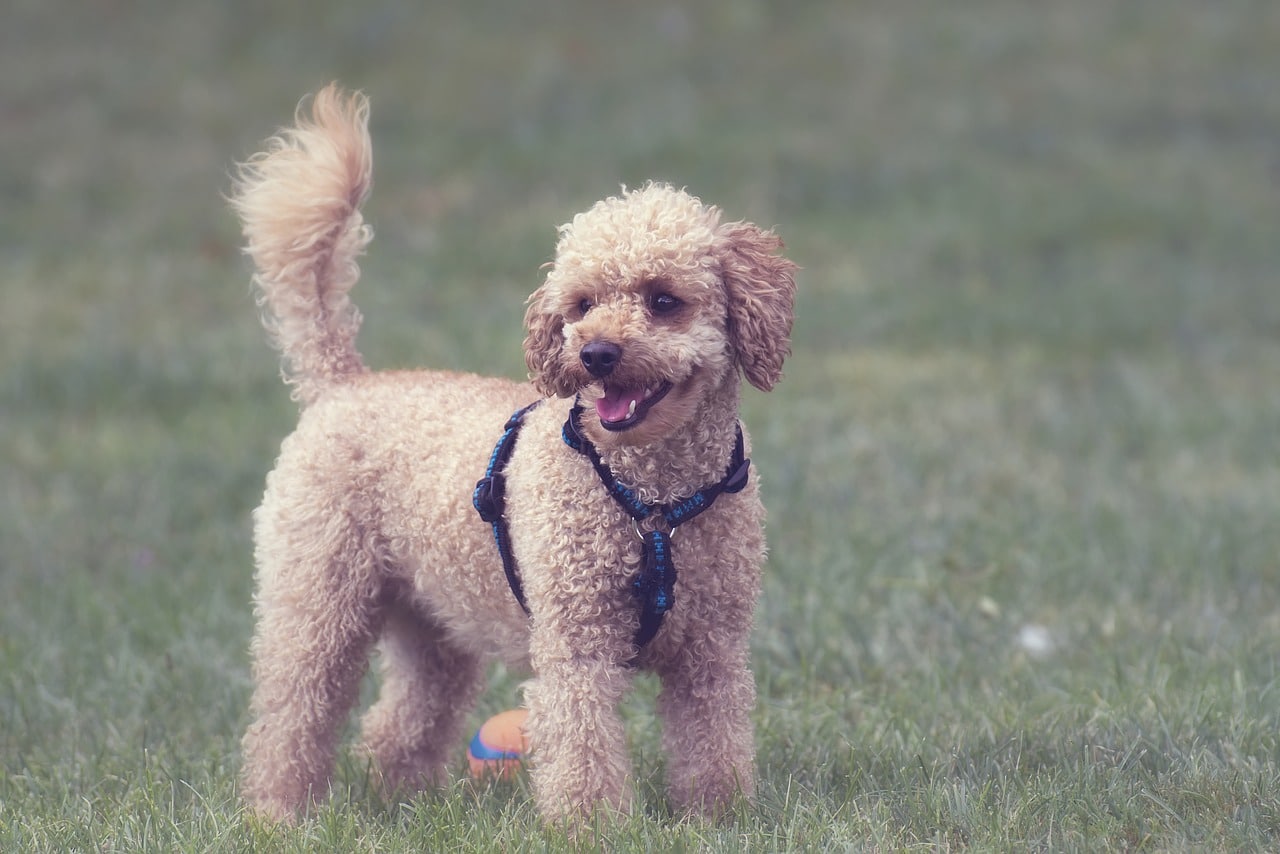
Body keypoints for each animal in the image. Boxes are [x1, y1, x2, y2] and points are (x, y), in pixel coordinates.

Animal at [226, 83, 793, 824]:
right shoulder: (576, 638)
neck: (653, 499)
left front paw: (717, 816)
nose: (595, 352)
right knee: (291, 714)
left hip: (433, 617)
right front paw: (590, 825)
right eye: (581, 304)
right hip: (319, 596)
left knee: (398, 724)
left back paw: (405, 802)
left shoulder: (713, 648)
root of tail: (342, 382)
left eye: (664, 299)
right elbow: (581, 744)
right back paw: (277, 811)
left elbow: (714, 738)